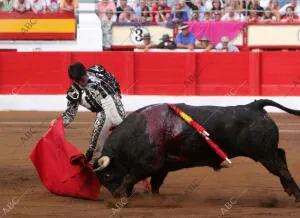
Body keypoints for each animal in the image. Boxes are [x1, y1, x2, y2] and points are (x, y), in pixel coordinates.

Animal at [96, 99, 300, 202]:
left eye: (106, 175)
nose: (113, 195)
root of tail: (253, 106)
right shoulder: (162, 167)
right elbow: (155, 184)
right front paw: (155, 199)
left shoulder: (148, 163)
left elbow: (131, 176)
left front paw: (120, 193)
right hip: (267, 151)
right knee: (281, 155)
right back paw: (290, 191)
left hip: (263, 153)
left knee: (280, 167)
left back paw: (296, 196)